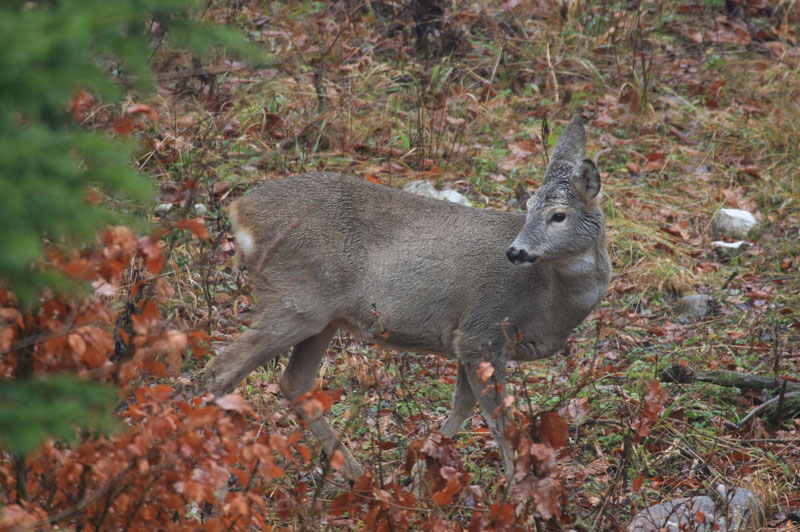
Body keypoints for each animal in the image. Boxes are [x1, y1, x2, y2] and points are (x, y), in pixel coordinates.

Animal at [206, 116, 612, 482]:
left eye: (558, 215)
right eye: (528, 208)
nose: (515, 252)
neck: (549, 301)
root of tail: (240, 212)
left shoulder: (470, 342)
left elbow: (462, 407)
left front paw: (416, 477)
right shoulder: (482, 331)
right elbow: (499, 423)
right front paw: (519, 494)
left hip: (322, 316)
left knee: (294, 382)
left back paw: (359, 478)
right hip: (295, 300)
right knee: (221, 370)